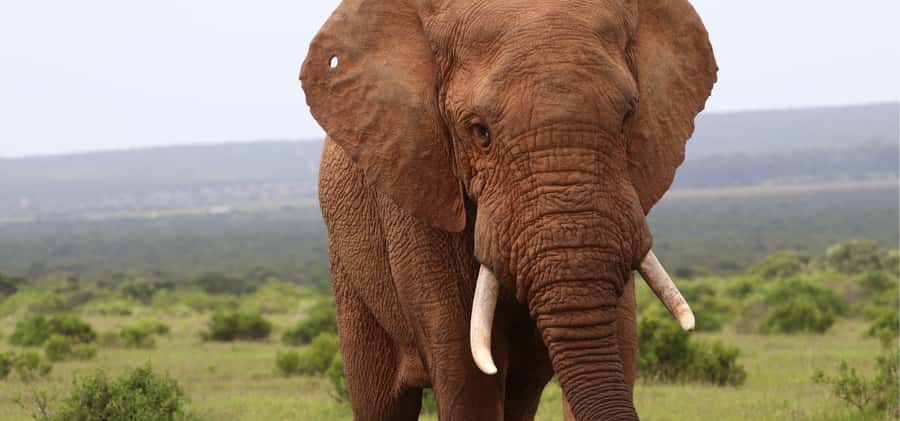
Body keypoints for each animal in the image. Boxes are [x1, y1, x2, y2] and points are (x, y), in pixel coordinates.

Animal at [300, 0, 716, 419]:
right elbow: (467, 372)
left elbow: (618, 339)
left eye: (628, 117)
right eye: (480, 132)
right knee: (380, 400)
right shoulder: (420, 190)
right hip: (348, 269)